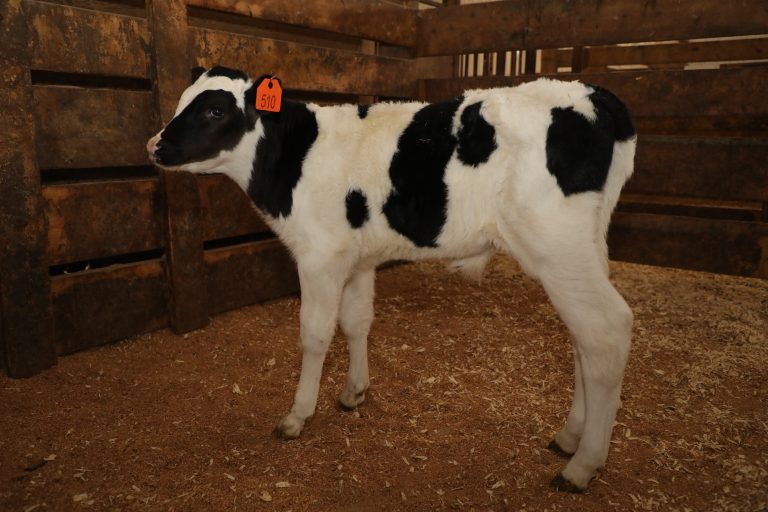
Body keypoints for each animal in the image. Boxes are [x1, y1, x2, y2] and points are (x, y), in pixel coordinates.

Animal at [147, 65, 636, 492]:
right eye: (183, 100)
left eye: (214, 110)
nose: (154, 146)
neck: (295, 159)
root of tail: (593, 93)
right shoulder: (356, 259)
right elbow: (357, 322)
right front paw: (354, 392)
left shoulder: (319, 256)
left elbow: (315, 334)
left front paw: (298, 415)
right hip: (586, 247)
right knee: (584, 340)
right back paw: (569, 438)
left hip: (557, 246)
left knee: (607, 330)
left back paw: (582, 465)